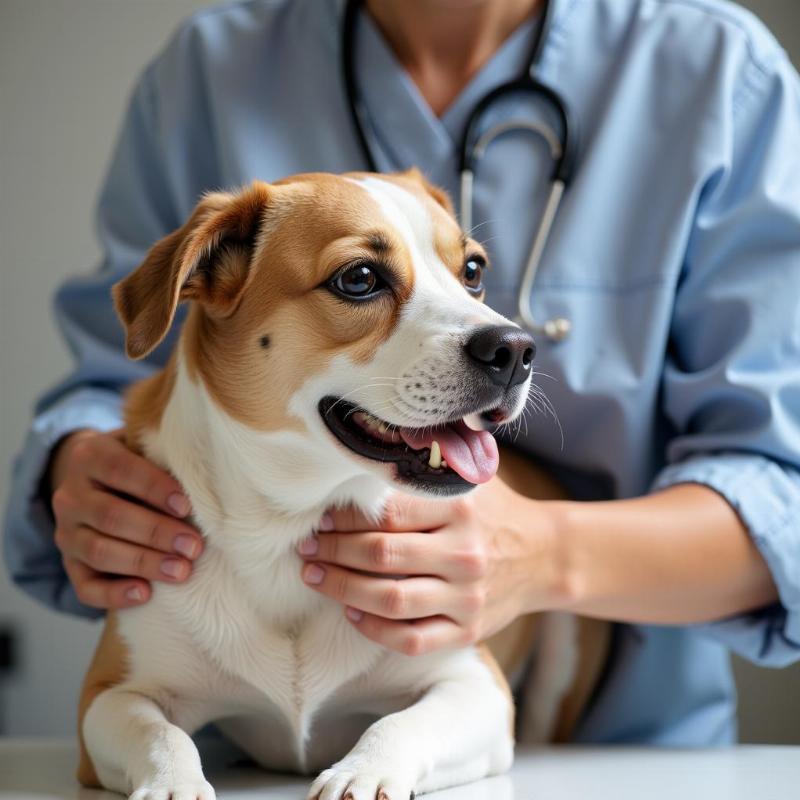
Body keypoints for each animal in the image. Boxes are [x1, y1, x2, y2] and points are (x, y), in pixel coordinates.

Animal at [78, 170, 608, 800]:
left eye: (473, 270)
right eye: (359, 279)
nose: (516, 349)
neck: (285, 523)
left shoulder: (474, 684)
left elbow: (402, 722)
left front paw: (365, 769)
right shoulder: (109, 696)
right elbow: (162, 735)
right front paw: (172, 784)